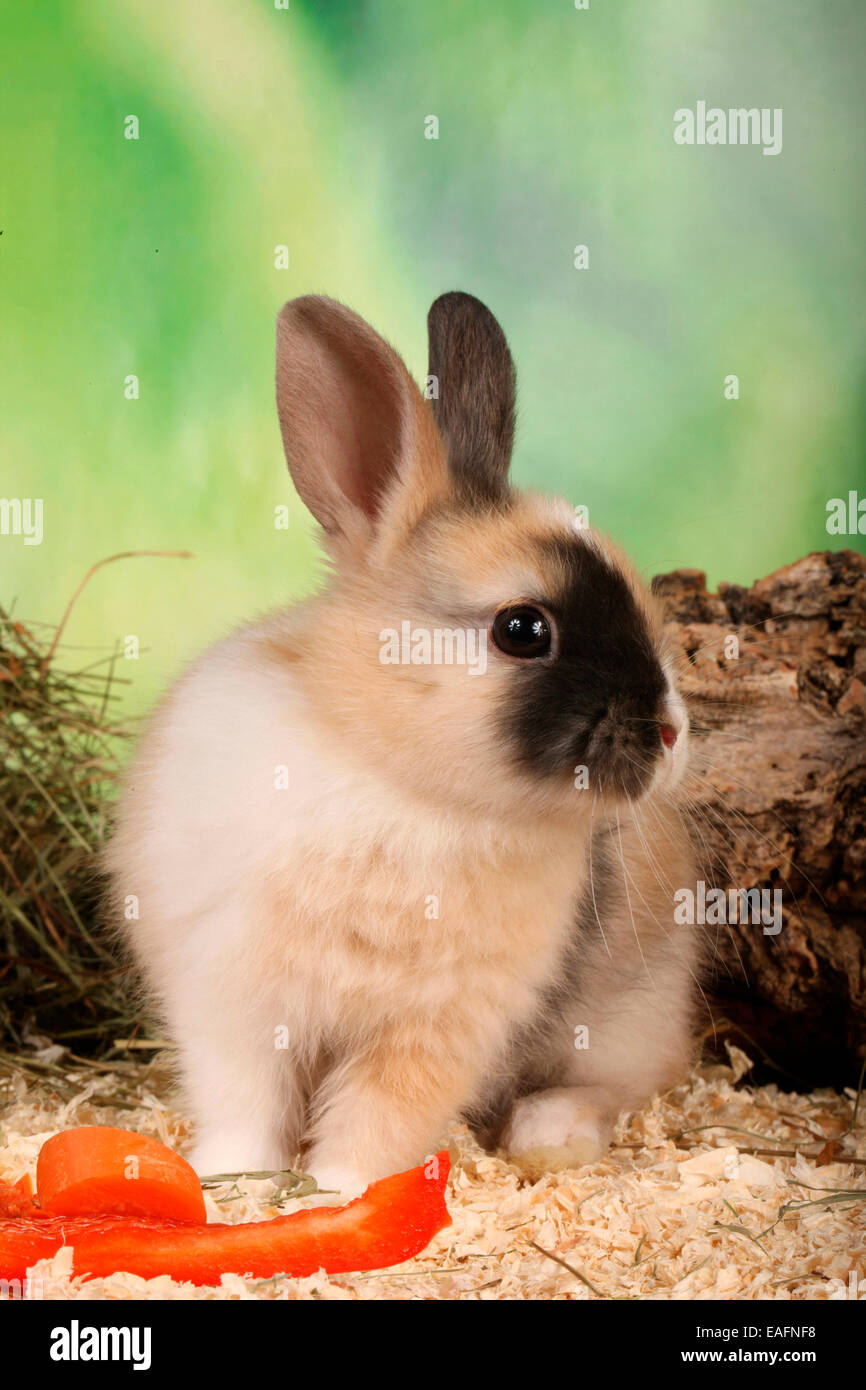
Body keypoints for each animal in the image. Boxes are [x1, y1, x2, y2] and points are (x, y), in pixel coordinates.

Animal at [105, 291, 701, 1195]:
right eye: (524, 629)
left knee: (615, 1083)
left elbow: (373, 1122)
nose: (671, 731)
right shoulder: (231, 1002)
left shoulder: (433, 1031)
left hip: (628, 1017)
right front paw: (235, 1182)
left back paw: (549, 1133)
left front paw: (338, 1195)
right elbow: (245, 1105)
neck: (395, 778)